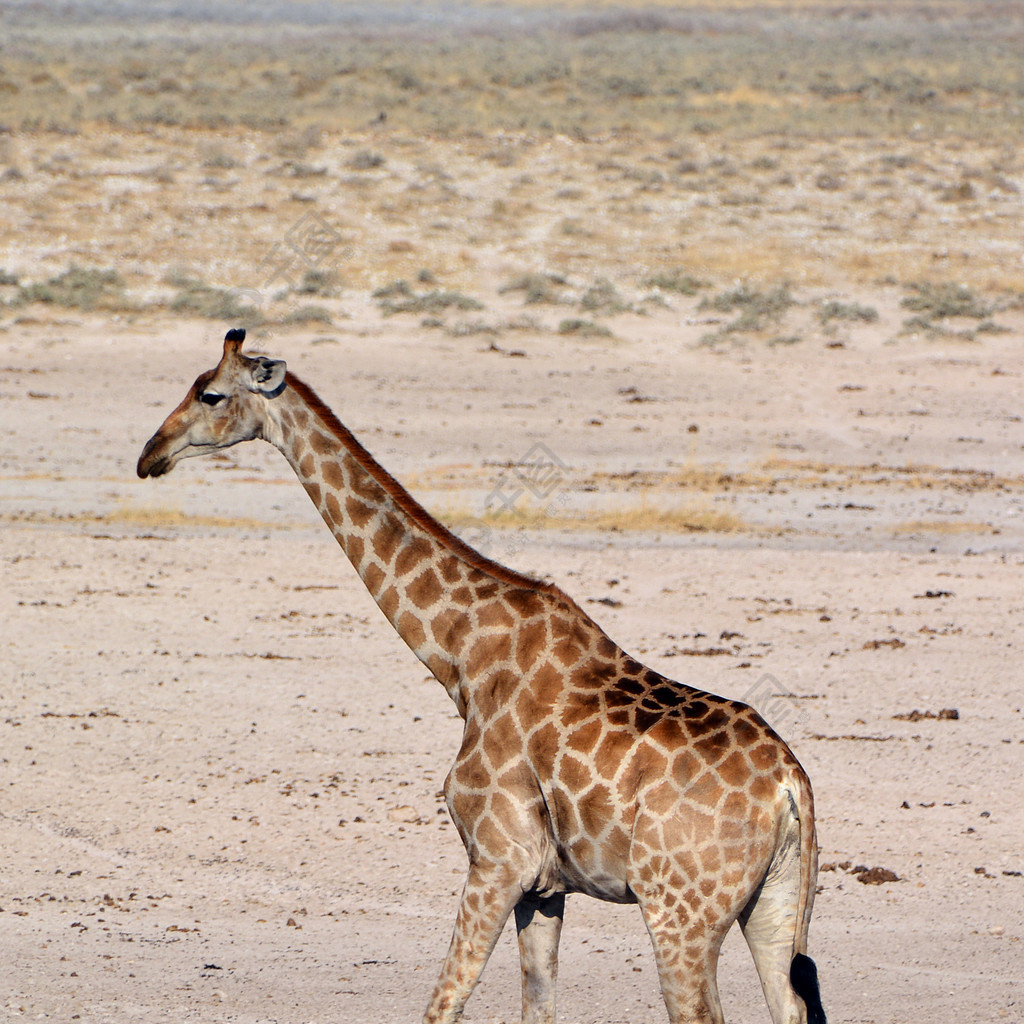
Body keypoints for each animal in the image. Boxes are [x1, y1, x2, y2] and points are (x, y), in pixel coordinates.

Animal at [138, 329, 823, 1024]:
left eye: (210, 393)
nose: (150, 456)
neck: (460, 656)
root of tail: (790, 789)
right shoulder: (544, 888)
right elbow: (537, 1006)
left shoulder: (498, 860)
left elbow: (443, 1004)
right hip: (771, 905)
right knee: (790, 1004)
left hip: (681, 913)